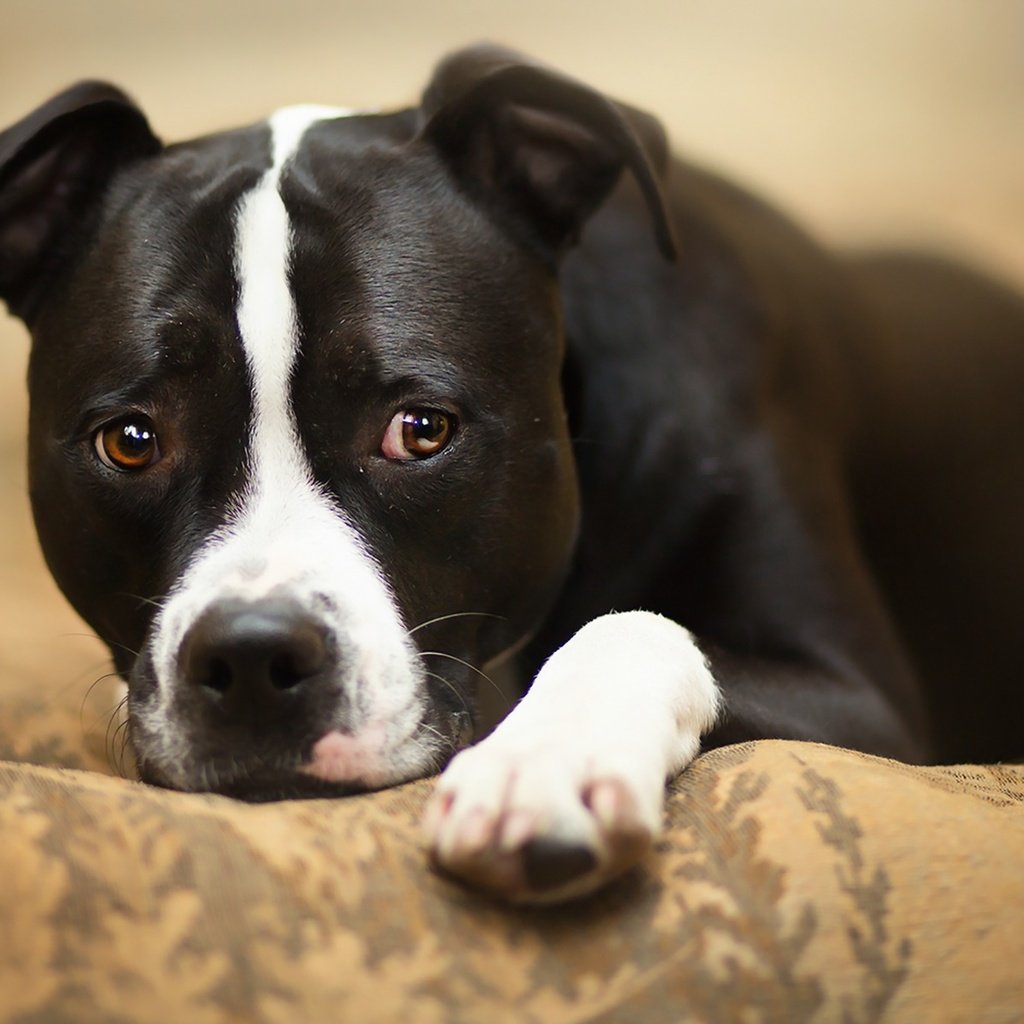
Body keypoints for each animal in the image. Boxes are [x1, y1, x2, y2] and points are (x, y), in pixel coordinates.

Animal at [2, 44, 1024, 901]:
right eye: (131, 441)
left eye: (420, 430)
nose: (254, 656)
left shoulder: (864, 702)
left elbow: (631, 624)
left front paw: (545, 765)